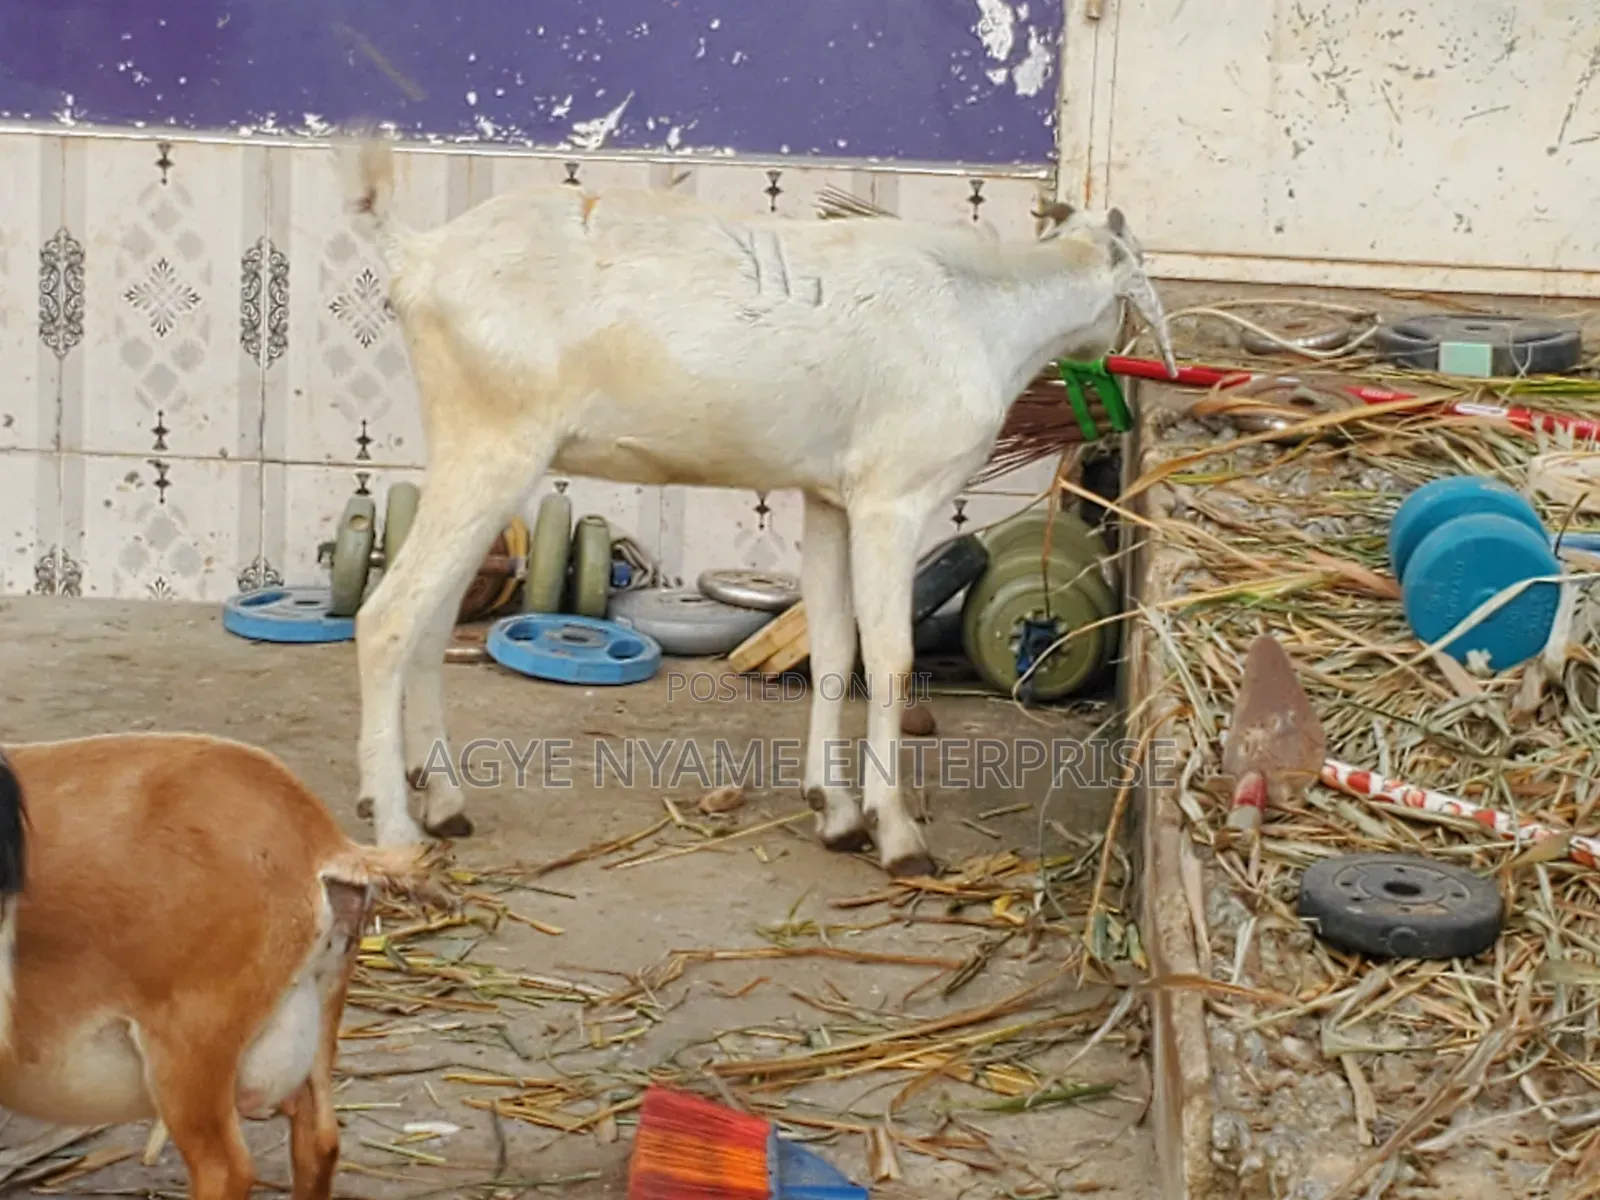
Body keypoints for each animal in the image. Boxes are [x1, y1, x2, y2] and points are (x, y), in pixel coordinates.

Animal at [339, 137, 1173, 878]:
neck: (984, 310)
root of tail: (417, 255)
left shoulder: (829, 498)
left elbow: (835, 647)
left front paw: (834, 813)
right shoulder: (892, 499)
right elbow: (892, 657)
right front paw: (897, 833)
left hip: (475, 459)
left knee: (430, 623)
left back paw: (445, 801)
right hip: (492, 446)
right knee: (387, 619)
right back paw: (396, 827)